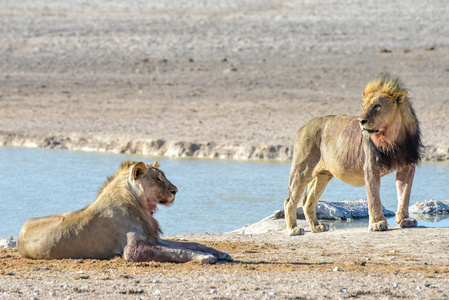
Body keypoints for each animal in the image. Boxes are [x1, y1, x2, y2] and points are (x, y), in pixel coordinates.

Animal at [17, 159, 229, 262]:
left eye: (164, 176)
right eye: (157, 179)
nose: (175, 190)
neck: (140, 204)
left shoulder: (153, 239)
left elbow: (189, 244)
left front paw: (219, 253)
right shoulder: (132, 250)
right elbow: (177, 252)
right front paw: (204, 258)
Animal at [286, 74, 422, 234]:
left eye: (376, 106)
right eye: (363, 107)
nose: (361, 121)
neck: (392, 138)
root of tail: (303, 127)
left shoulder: (407, 166)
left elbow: (404, 194)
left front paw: (404, 220)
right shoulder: (371, 167)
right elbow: (374, 198)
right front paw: (378, 223)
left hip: (323, 175)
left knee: (307, 200)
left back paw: (317, 227)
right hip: (302, 171)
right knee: (289, 201)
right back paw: (293, 229)